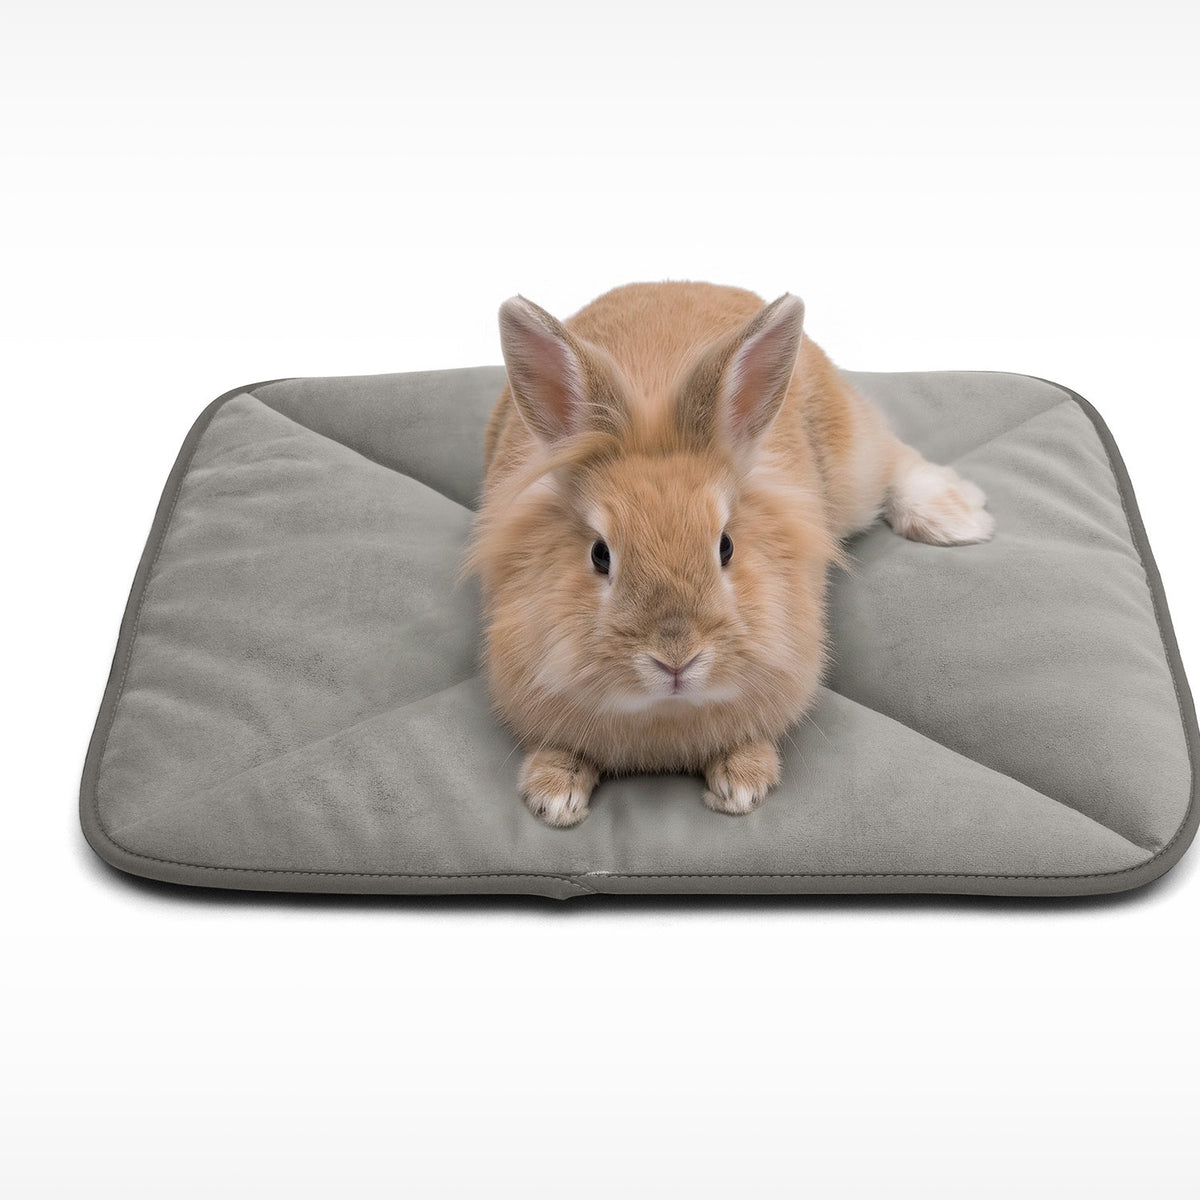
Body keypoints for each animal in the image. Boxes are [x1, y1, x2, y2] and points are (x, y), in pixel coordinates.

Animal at [466, 282, 992, 827]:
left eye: (726, 546)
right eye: (599, 554)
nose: (676, 659)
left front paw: (742, 787)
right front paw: (553, 798)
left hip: (853, 470)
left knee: (893, 455)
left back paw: (955, 519)